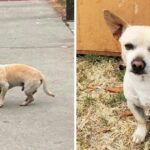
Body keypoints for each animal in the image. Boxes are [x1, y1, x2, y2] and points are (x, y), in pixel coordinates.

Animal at [103, 9, 150, 144]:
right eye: (128, 46)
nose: (137, 64)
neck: (144, 82)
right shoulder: (132, 103)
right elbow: (141, 120)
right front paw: (140, 133)